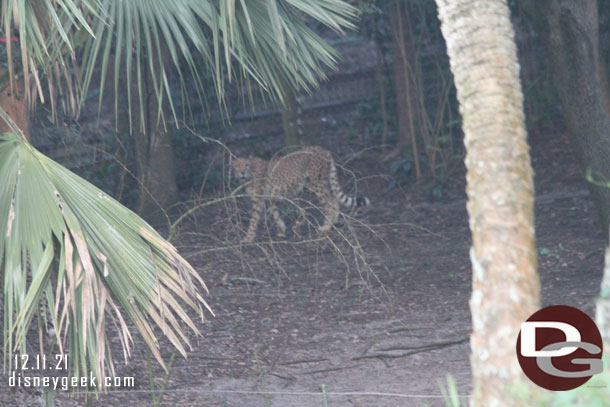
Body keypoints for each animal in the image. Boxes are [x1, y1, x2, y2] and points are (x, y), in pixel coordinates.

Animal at [230, 146, 368, 242]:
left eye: (246, 165)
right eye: (237, 166)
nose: (242, 172)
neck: (250, 174)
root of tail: (321, 149)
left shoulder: (258, 200)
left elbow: (253, 221)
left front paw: (248, 238)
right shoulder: (268, 198)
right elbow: (275, 214)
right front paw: (282, 230)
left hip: (315, 184)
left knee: (330, 201)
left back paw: (326, 226)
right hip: (310, 185)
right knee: (333, 198)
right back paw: (332, 223)